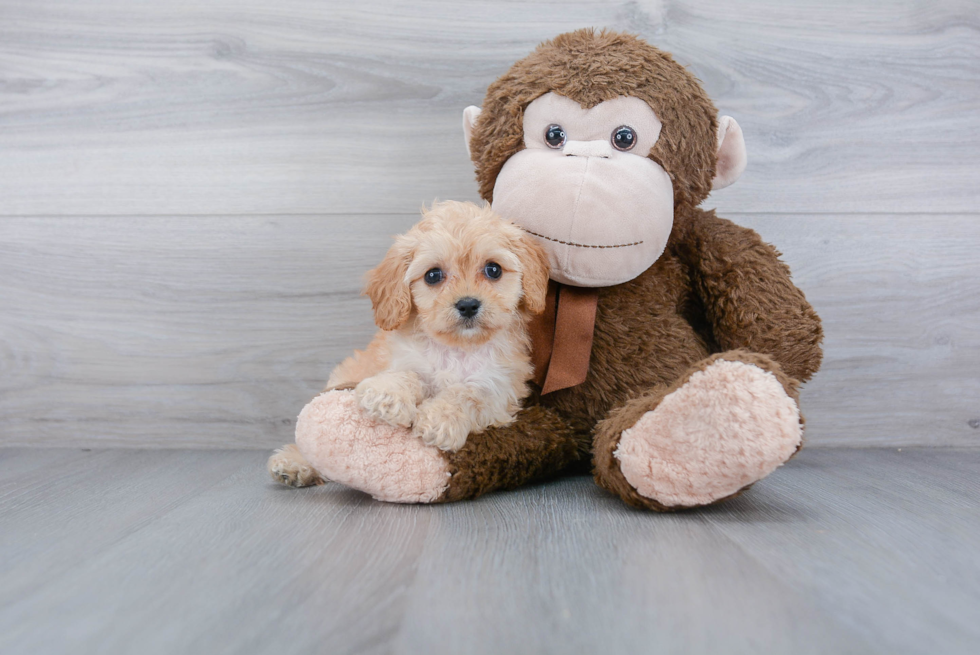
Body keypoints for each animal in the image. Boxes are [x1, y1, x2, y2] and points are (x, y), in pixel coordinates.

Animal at [326, 202, 548, 454]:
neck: (458, 348)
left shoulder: (501, 390)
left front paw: (440, 420)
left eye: (494, 270)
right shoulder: (404, 357)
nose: (468, 305)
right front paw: (387, 393)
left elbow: (468, 393)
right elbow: (409, 373)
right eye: (432, 275)